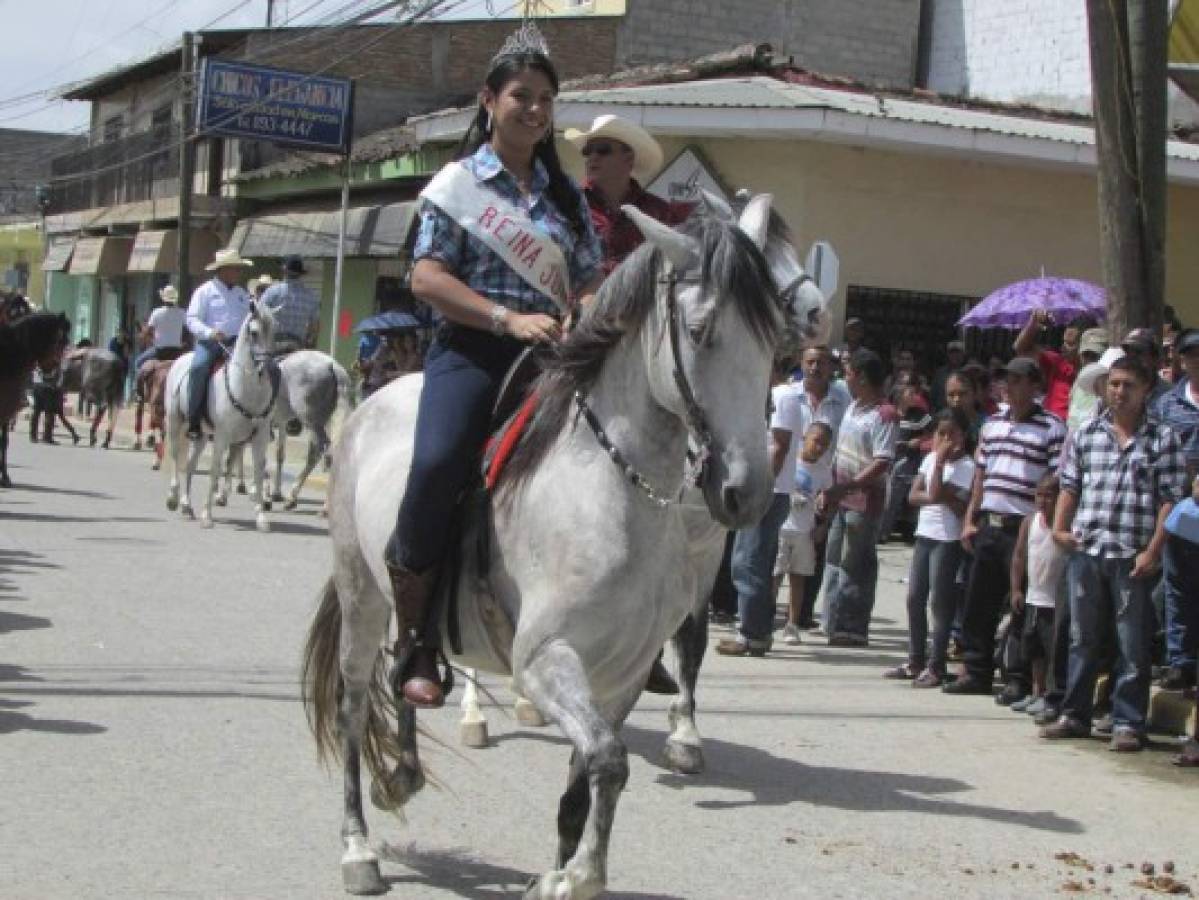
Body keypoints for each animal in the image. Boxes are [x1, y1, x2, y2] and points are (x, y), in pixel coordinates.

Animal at [163, 299, 276, 532]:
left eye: (275, 331)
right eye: (254, 332)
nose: (266, 367)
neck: (245, 388)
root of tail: (181, 359)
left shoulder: (259, 437)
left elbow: (258, 472)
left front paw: (261, 517)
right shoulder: (223, 436)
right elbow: (215, 470)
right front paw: (207, 515)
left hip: (202, 435)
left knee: (190, 465)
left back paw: (186, 506)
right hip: (174, 422)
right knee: (175, 456)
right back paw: (173, 498)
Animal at [302, 195, 786, 896]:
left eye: (775, 337)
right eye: (699, 332)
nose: (745, 493)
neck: (609, 489)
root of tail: (374, 399)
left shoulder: (624, 674)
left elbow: (584, 785)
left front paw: (559, 873)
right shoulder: (544, 658)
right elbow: (610, 761)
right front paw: (580, 876)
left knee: (404, 666)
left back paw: (404, 769)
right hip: (360, 591)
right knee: (354, 702)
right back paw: (358, 849)